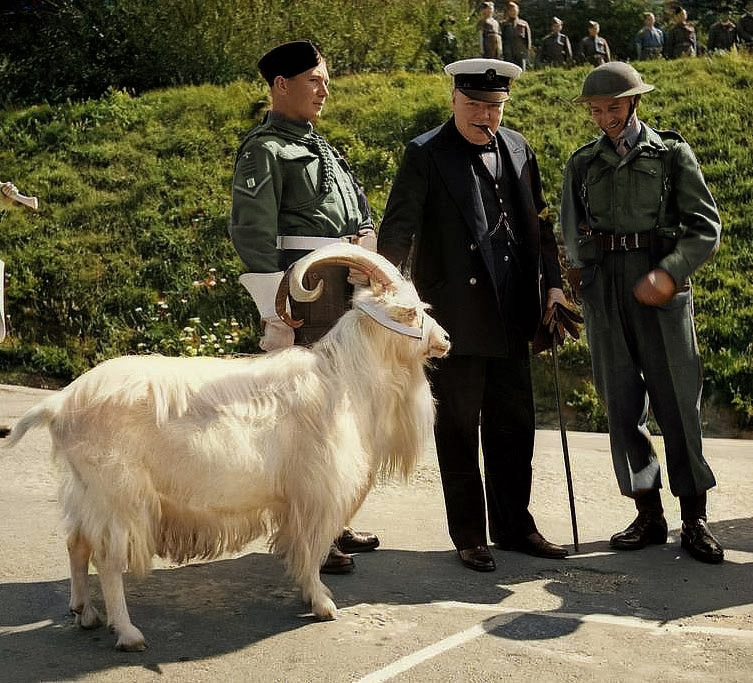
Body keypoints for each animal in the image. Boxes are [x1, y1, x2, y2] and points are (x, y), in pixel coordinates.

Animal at [1, 246, 446, 652]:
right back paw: (127, 634)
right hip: (118, 497)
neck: (343, 380)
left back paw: (85, 613)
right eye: (413, 312)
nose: (444, 340)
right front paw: (321, 603)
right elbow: (310, 548)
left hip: (85, 492)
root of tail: (59, 404)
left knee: (76, 544)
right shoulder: (316, 491)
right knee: (107, 561)